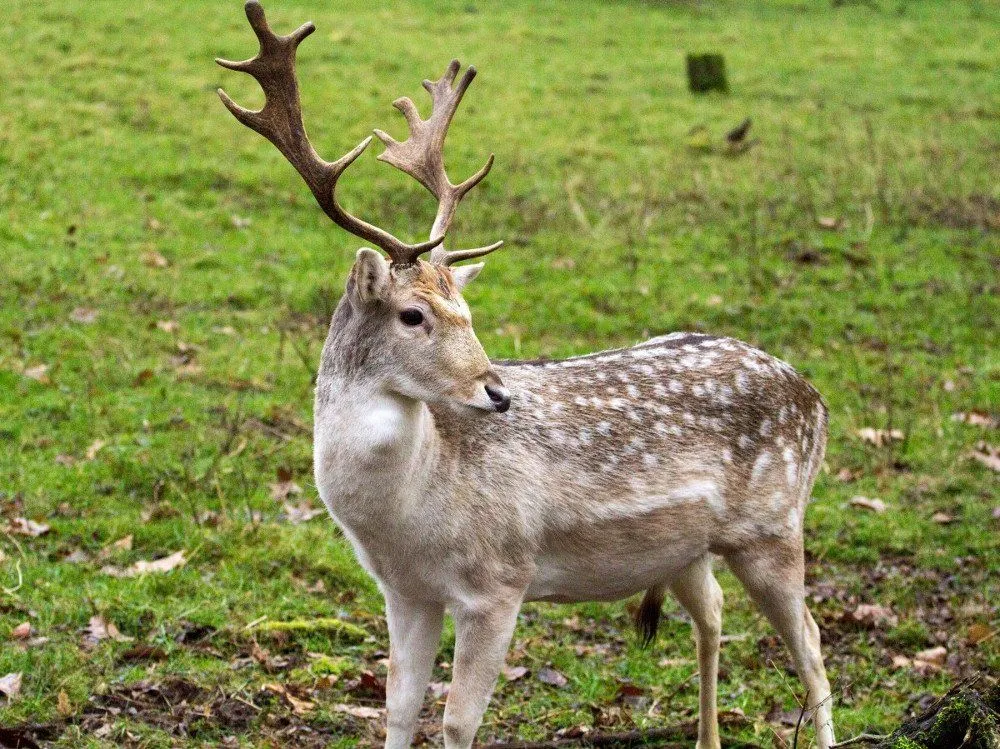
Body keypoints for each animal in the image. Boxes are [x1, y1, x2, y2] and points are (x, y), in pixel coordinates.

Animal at [216, 4, 836, 748]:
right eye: (413, 314)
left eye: (468, 311)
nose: (498, 391)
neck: (407, 516)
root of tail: (817, 397)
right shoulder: (403, 591)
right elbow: (397, 707)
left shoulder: (499, 580)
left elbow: (456, 722)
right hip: (686, 549)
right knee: (713, 614)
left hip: (774, 525)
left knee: (814, 646)